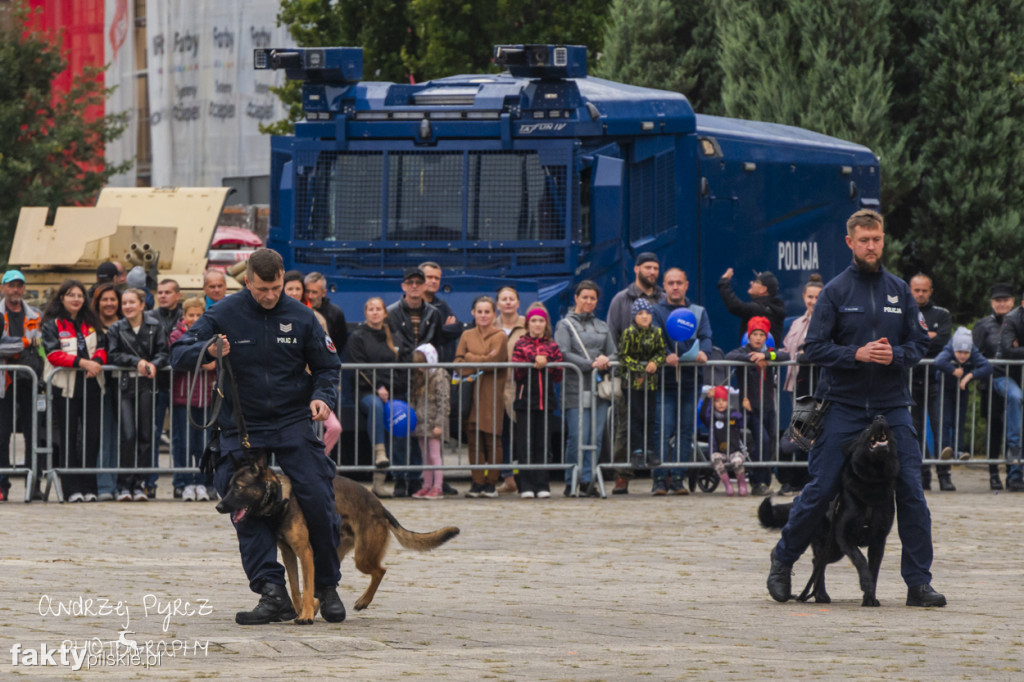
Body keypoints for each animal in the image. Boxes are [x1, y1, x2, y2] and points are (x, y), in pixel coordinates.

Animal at [761, 413, 897, 606]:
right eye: (865, 429)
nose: (879, 417)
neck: (872, 482)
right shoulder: (843, 536)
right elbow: (861, 560)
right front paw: (866, 584)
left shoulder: (879, 540)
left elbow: (874, 569)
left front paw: (870, 596)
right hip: (832, 546)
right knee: (818, 561)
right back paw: (820, 594)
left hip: (834, 549)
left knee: (818, 563)